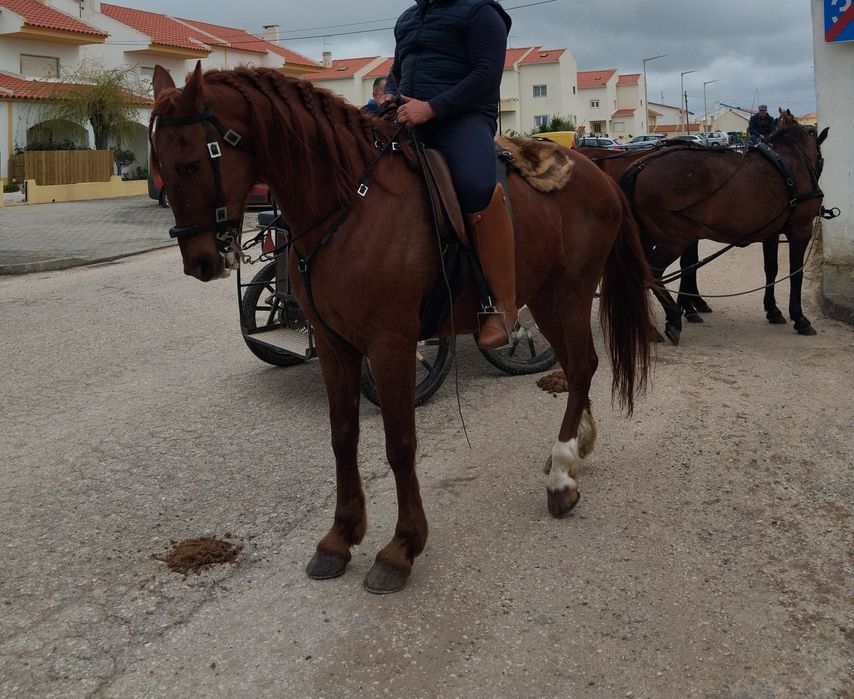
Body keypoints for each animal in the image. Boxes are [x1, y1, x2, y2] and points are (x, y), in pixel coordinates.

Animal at [149, 63, 654, 594]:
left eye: (191, 165)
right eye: (158, 163)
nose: (201, 263)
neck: (352, 204)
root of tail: (596, 172)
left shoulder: (391, 344)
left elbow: (399, 442)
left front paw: (402, 547)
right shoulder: (334, 344)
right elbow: (343, 436)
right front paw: (339, 538)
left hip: (570, 294)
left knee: (582, 367)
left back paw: (560, 476)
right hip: (544, 296)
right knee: (578, 367)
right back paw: (573, 451)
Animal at [616, 123, 828, 344]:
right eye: (820, 159)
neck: (791, 162)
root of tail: (642, 165)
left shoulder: (771, 233)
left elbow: (771, 269)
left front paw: (773, 310)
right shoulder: (801, 230)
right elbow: (796, 273)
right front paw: (800, 318)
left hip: (647, 236)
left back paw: (648, 327)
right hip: (674, 240)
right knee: (652, 272)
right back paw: (672, 317)